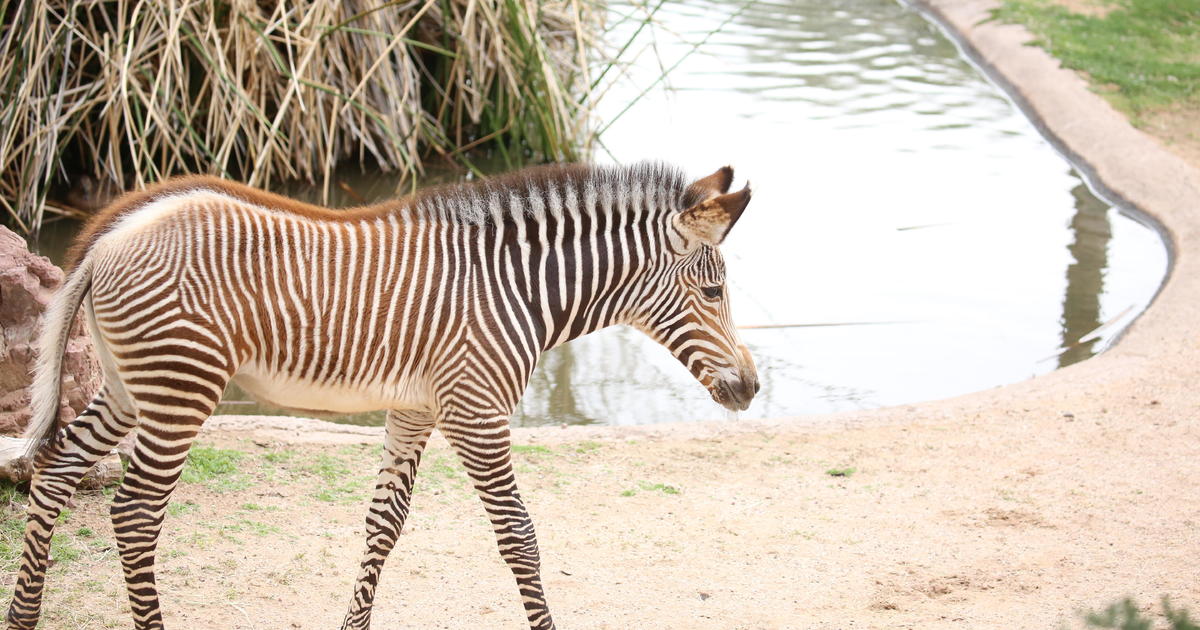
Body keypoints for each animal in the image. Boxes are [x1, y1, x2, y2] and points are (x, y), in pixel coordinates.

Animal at [6, 161, 758, 630]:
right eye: (713, 291)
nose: (752, 388)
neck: (513, 288)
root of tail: (111, 232)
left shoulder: (416, 408)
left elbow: (383, 525)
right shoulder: (475, 411)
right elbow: (519, 535)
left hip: (132, 386)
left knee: (56, 472)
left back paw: (25, 615)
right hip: (179, 389)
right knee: (134, 513)